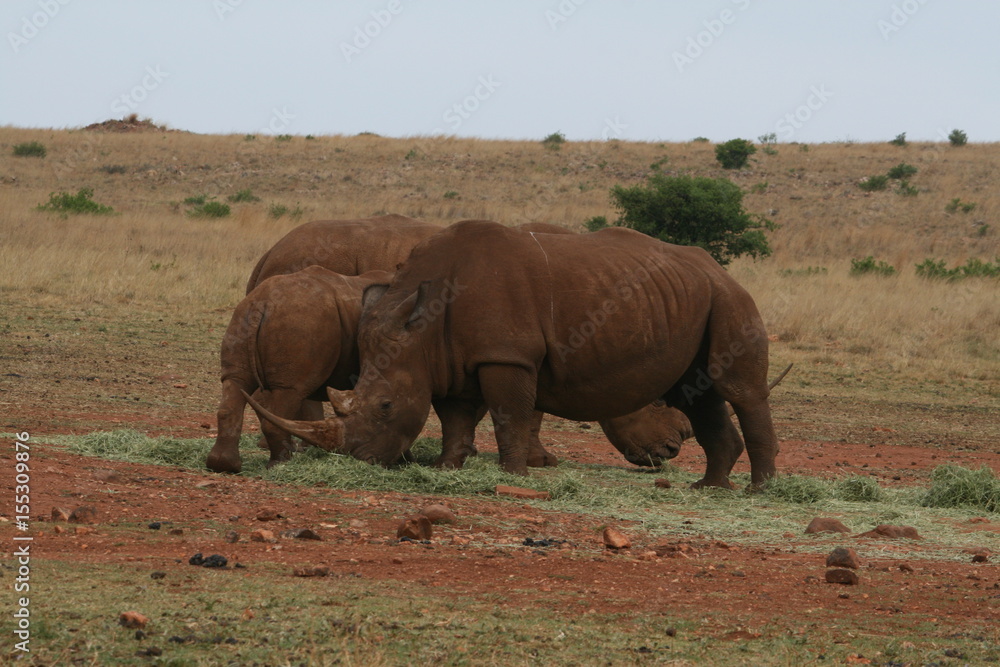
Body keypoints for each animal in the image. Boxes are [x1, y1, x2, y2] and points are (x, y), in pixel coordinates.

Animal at [248, 220, 782, 489]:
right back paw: (711, 488)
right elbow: (456, 417)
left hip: (725, 296)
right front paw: (448, 469)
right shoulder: (449, 357)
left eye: (384, 407)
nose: (359, 461)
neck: (423, 319)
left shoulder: (507, 355)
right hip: (699, 297)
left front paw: (516, 472)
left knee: (734, 389)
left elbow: (512, 413)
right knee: (702, 392)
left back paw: (759, 489)